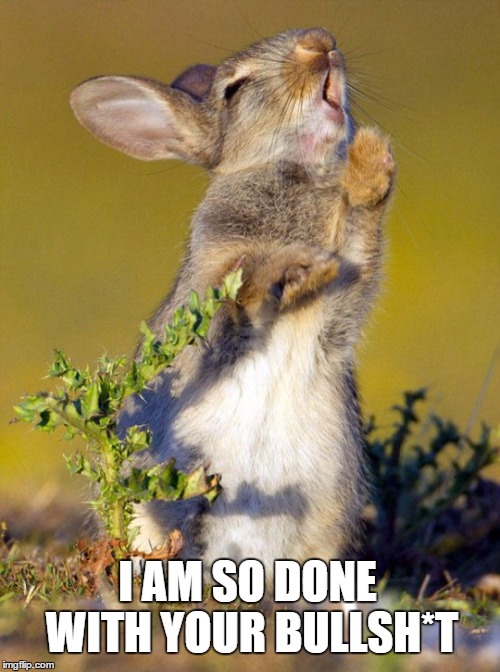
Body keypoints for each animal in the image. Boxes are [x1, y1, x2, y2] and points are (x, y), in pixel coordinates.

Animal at [70, 27, 395, 578]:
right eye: (235, 89)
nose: (319, 41)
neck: (286, 171)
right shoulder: (214, 308)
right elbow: (243, 290)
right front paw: (299, 265)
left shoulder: (342, 302)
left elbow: (357, 240)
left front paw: (372, 162)